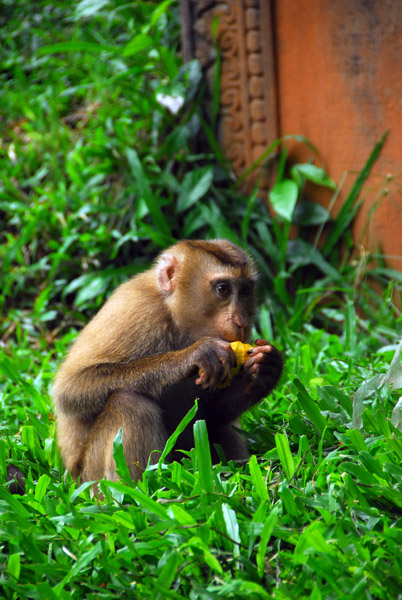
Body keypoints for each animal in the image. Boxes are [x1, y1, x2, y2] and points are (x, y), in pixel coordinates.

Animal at [53, 239, 282, 482]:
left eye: (246, 290)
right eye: (223, 289)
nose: (243, 323)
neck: (177, 319)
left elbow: (210, 414)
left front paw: (265, 371)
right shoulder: (135, 310)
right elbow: (70, 389)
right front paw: (194, 355)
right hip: (91, 474)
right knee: (129, 404)